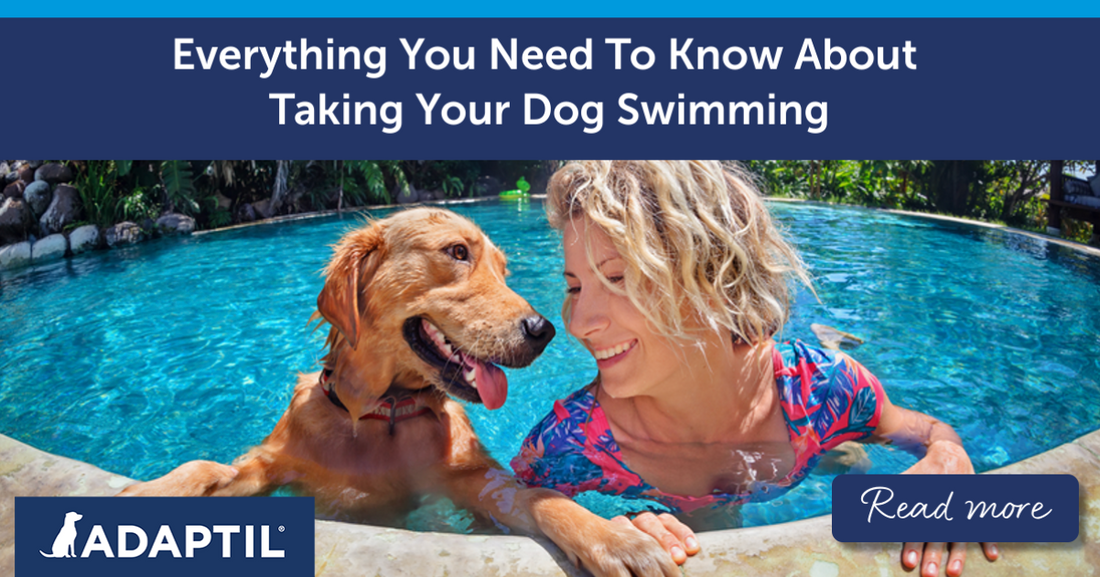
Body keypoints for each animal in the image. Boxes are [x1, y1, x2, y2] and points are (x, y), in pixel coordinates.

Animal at [116, 206, 673, 575]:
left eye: (502, 269)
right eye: (457, 252)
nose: (543, 330)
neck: (378, 417)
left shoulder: (474, 482)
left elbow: (542, 497)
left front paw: (614, 538)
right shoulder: (272, 465)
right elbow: (205, 467)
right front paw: (148, 490)